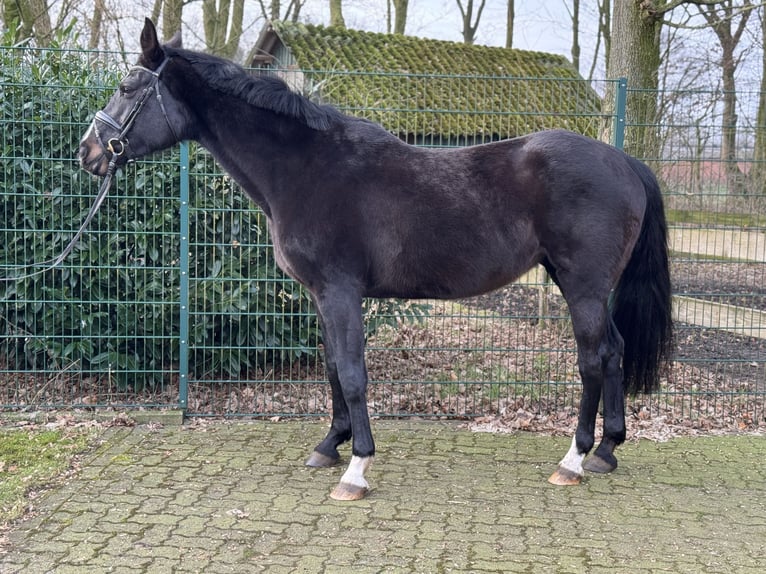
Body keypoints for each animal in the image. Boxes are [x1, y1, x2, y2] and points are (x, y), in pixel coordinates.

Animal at [81, 20, 676, 502]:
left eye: (127, 87)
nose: (88, 153)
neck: (307, 168)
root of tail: (625, 161)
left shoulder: (341, 292)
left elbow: (351, 372)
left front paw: (357, 468)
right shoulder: (320, 296)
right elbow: (330, 368)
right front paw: (330, 445)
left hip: (582, 285)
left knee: (594, 358)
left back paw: (573, 460)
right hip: (580, 284)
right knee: (615, 351)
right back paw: (607, 451)